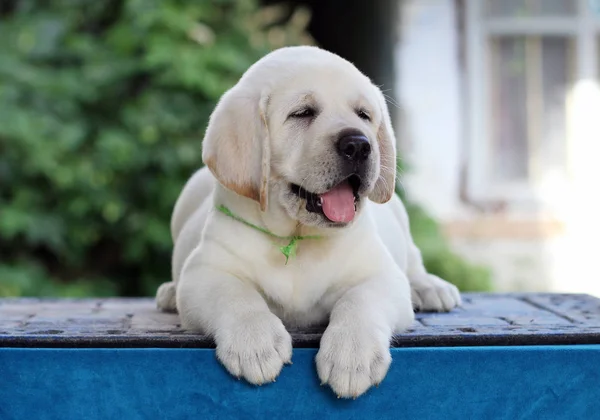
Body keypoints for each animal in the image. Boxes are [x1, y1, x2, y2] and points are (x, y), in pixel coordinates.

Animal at [156, 45, 460, 398]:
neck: (297, 238)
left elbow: (360, 301)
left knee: (413, 260)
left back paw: (430, 287)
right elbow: (234, 295)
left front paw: (352, 356)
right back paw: (168, 292)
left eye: (364, 115)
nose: (359, 144)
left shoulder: (380, 276)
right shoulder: (205, 272)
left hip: (399, 213)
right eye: (302, 113)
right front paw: (255, 343)